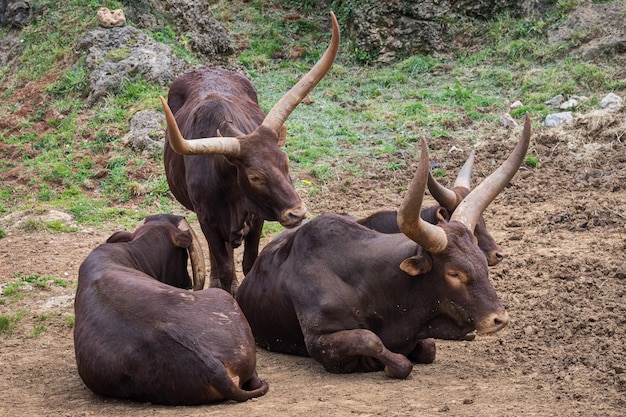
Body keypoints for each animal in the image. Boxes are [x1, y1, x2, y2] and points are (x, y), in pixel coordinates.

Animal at [158, 12, 338, 292]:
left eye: (286, 162)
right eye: (254, 176)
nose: (297, 213)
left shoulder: (256, 219)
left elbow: (249, 263)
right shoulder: (207, 221)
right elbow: (225, 267)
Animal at [236, 115, 528, 378]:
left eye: (481, 262)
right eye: (454, 273)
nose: (499, 319)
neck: (372, 285)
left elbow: (428, 348)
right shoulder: (319, 341)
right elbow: (375, 344)